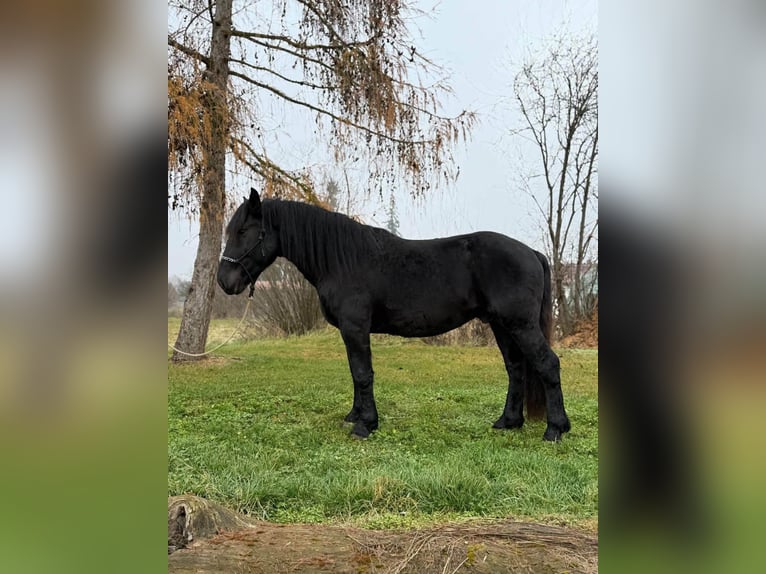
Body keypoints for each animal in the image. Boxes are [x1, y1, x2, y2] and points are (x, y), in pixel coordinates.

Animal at [217, 188, 570, 441]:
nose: (224, 281)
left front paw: (365, 425)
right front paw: (355, 416)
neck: (342, 260)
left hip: (520, 324)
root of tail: (531, 252)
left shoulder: (355, 327)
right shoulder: (350, 332)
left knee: (547, 364)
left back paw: (555, 429)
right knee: (516, 368)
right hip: (501, 325)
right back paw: (508, 422)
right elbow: (355, 373)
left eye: (244, 231)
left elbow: (363, 373)